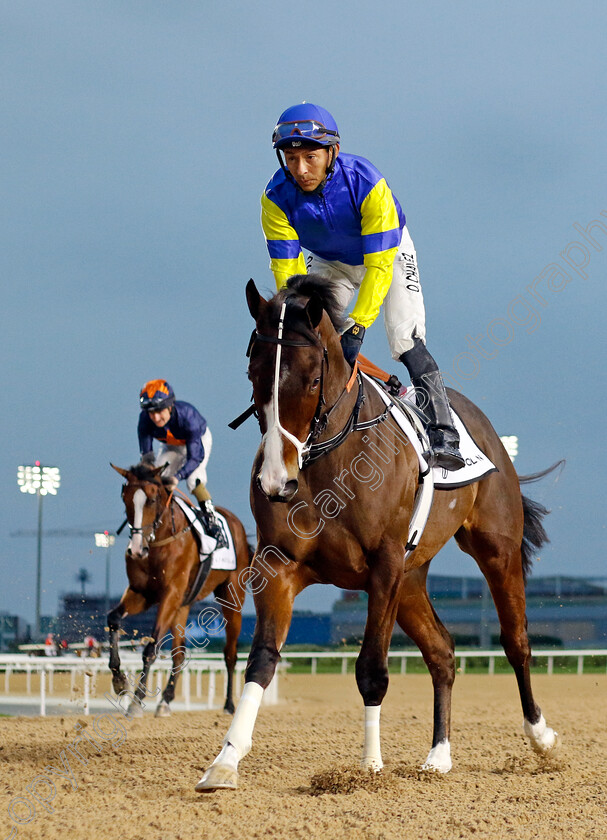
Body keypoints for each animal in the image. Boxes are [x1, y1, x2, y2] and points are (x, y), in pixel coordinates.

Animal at [109, 462, 252, 720]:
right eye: (125, 497)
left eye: (152, 499)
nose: (136, 550)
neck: (159, 541)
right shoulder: (142, 593)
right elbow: (113, 619)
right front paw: (119, 680)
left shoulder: (170, 595)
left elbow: (151, 648)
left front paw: (136, 701)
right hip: (183, 605)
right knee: (179, 653)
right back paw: (165, 700)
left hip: (232, 597)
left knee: (230, 653)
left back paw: (228, 704)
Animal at [196, 276, 560, 796]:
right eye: (253, 375)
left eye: (312, 379)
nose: (275, 481)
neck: (328, 459)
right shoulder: (278, 565)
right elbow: (262, 659)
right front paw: (224, 762)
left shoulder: (383, 566)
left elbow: (371, 669)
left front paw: (368, 768)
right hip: (411, 580)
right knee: (443, 652)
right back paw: (438, 756)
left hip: (495, 549)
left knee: (516, 641)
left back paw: (540, 736)